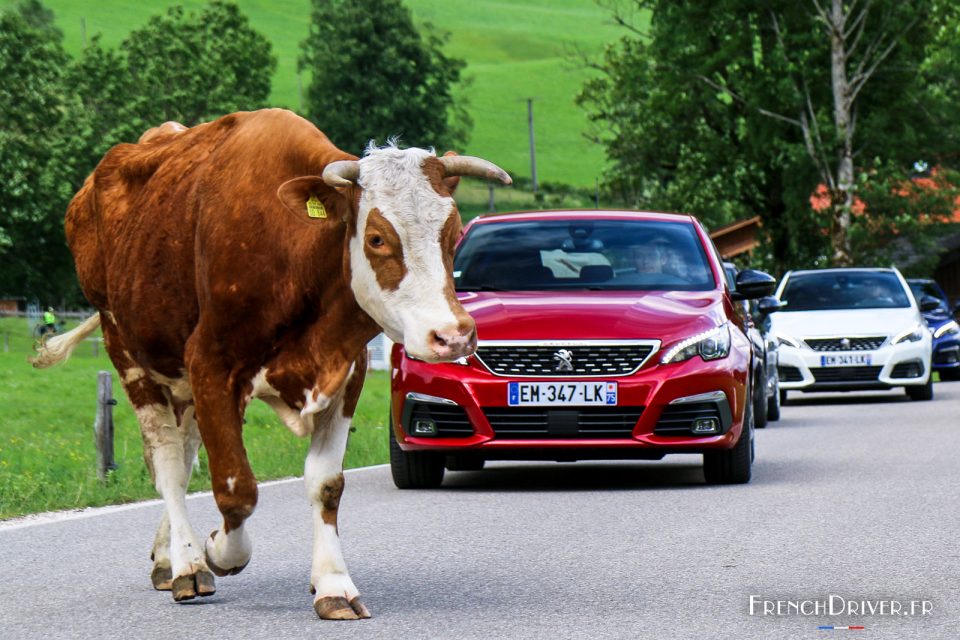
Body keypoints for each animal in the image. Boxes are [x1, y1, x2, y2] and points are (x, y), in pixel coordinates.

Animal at [31, 109, 510, 620]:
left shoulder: (347, 373)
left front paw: (333, 584)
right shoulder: (211, 364)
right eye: (377, 238)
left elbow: (325, 484)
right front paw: (216, 550)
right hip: (125, 346)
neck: (293, 253)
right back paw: (186, 564)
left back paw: (165, 557)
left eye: (453, 233)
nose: (453, 334)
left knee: (185, 449)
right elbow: (236, 490)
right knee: (168, 461)